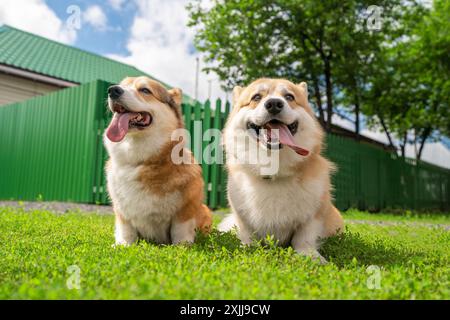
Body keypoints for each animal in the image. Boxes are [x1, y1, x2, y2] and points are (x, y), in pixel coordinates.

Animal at [104, 77, 212, 245]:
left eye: (145, 90)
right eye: (122, 85)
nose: (112, 90)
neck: (141, 161)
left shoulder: (185, 208)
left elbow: (180, 229)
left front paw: (181, 246)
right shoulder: (121, 211)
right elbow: (126, 229)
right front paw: (123, 244)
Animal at [220, 78, 342, 262]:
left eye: (289, 97)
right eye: (256, 97)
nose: (274, 104)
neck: (274, 169)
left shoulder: (314, 215)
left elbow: (304, 237)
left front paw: (310, 255)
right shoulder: (241, 215)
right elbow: (247, 233)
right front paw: (246, 249)